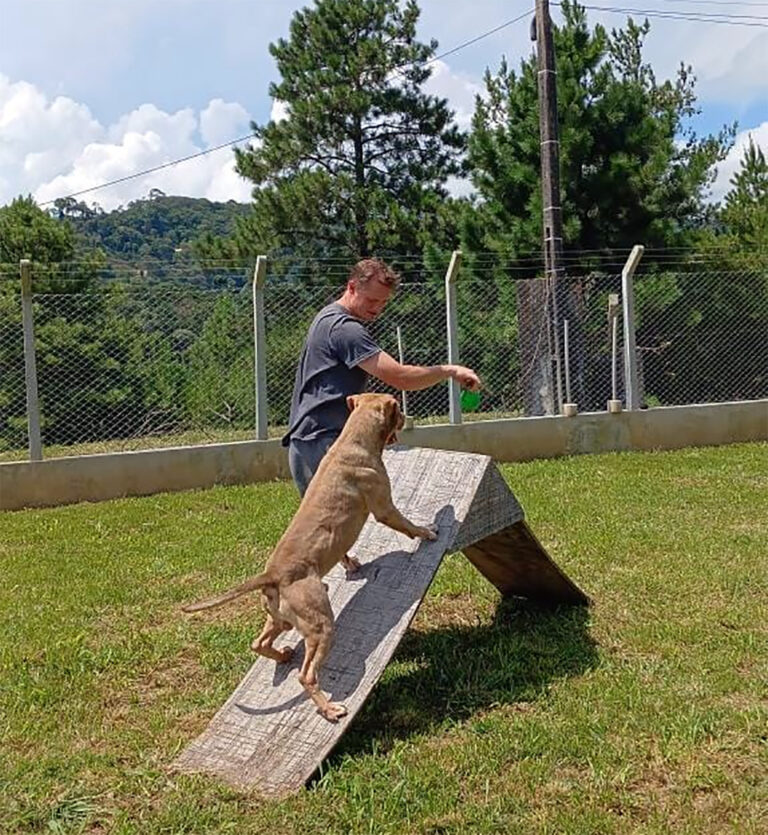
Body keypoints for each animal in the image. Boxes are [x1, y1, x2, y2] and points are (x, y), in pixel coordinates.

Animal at [178, 396, 432, 720]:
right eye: (397, 408)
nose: (407, 417)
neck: (354, 439)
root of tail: (272, 574)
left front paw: (352, 563)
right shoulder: (384, 508)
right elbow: (409, 525)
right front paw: (428, 532)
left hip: (280, 620)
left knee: (258, 643)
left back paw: (283, 655)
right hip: (321, 627)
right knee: (306, 675)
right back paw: (329, 709)